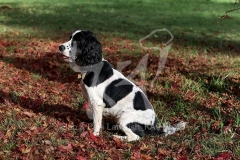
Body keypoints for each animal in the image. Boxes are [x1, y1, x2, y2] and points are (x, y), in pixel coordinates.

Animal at [58, 29, 186, 141]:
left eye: (78, 41)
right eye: (70, 38)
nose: (60, 47)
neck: (91, 65)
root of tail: (153, 125)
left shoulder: (98, 104)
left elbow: (96, 123)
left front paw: (94, 135)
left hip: (124, 120)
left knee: (137, 137)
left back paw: (118, 137)